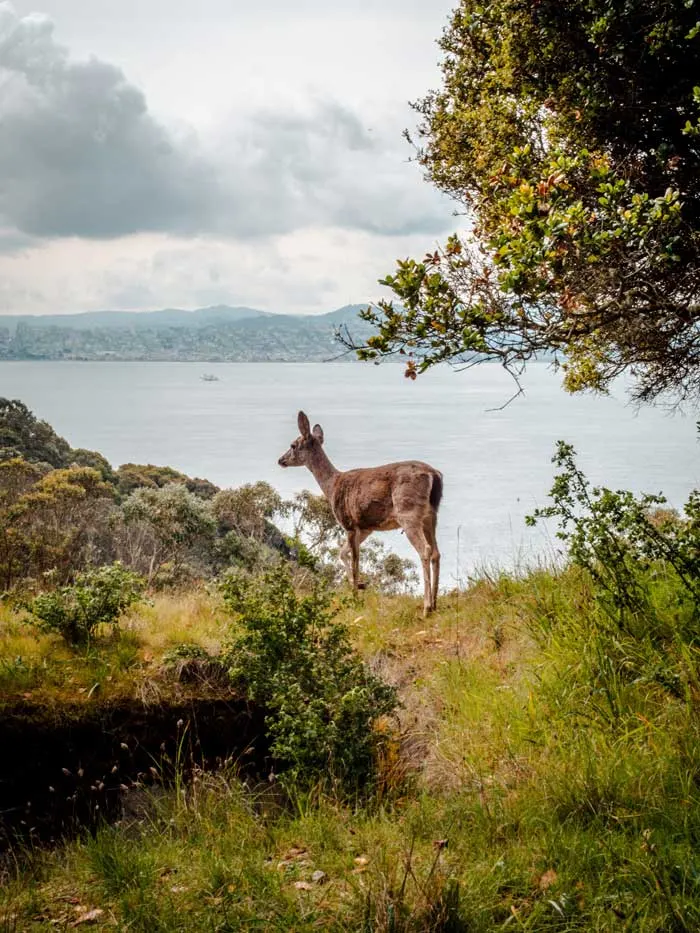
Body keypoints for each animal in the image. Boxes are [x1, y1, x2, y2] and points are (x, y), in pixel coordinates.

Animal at [276, 412, 440, 616]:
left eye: (293, 445)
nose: (280, 460)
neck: (332, 486)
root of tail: (433, 474)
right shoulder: (366, 528)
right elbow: (342, 553)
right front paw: (360, 585)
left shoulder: (349, 523)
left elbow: (354, 559)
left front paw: (355, 596)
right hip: (431, 516)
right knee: (436, 553)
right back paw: (435, 603)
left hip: (408, 513)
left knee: (425, 549)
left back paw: (426, 607)